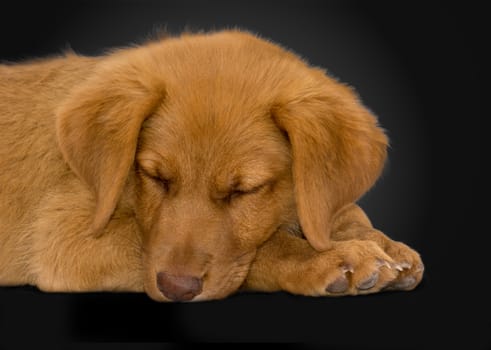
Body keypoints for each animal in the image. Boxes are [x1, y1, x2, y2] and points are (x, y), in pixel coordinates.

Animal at [0, 30, 422, 300]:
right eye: (156, 177)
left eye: (243, 191)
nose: (177, 290)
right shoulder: (63, 237)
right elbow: (261, 250)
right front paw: (331, 257)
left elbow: (340, 211)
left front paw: (382, 244)